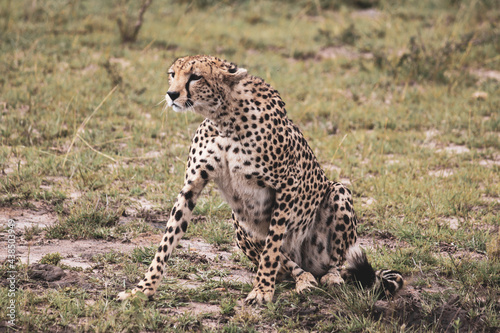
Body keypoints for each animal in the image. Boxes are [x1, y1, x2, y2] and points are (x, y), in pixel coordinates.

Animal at [119, 55, 404, 304]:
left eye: (195, 77)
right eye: (172, 74)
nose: (172, 94)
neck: (223, 118)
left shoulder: (287, 185)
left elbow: (272, 245)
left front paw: (262, 290)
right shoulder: (192, 186)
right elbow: (167, 241)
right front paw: (142, 290)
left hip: (338, 192)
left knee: (331, 262)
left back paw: (328, 277)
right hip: (240, 224)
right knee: (291, 266)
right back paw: (303, 279)